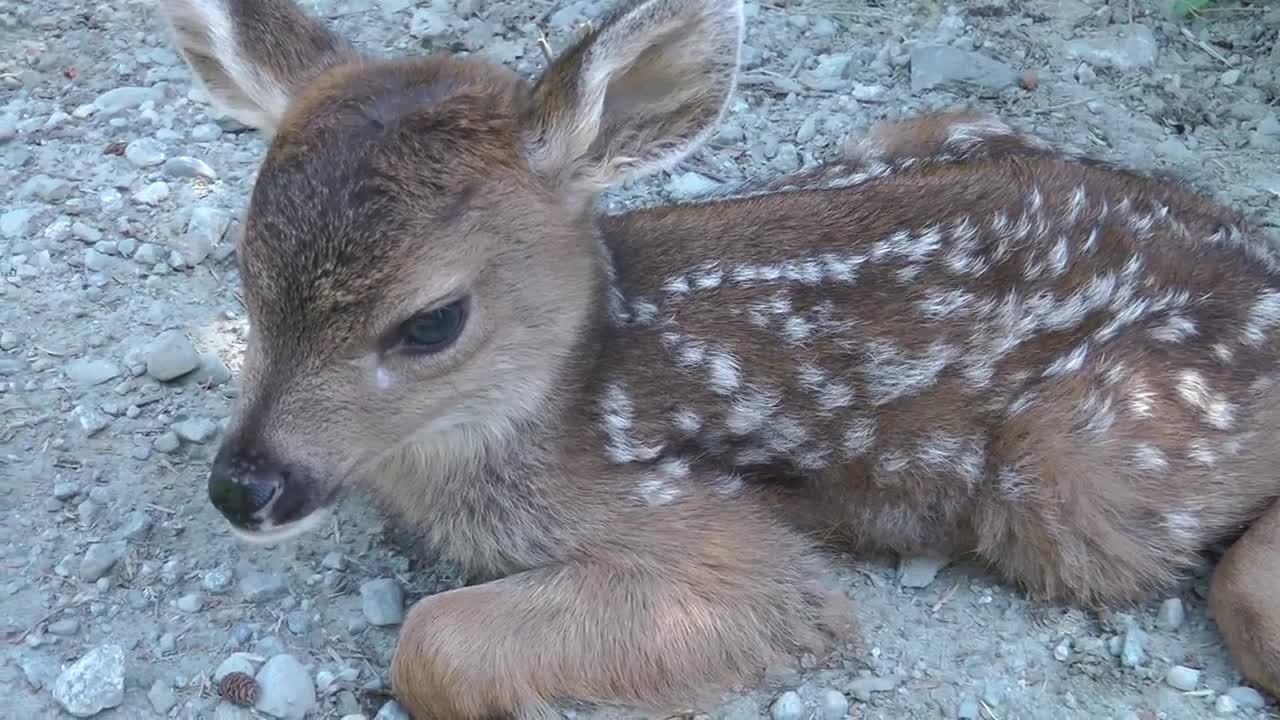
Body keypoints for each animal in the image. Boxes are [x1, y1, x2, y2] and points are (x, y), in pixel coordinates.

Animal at [152, 0, 1280, 712]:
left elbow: (428, 643)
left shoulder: (712, 536)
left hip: (1086, 468)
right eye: (245, 274)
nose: (244, 485)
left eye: (431, 322)